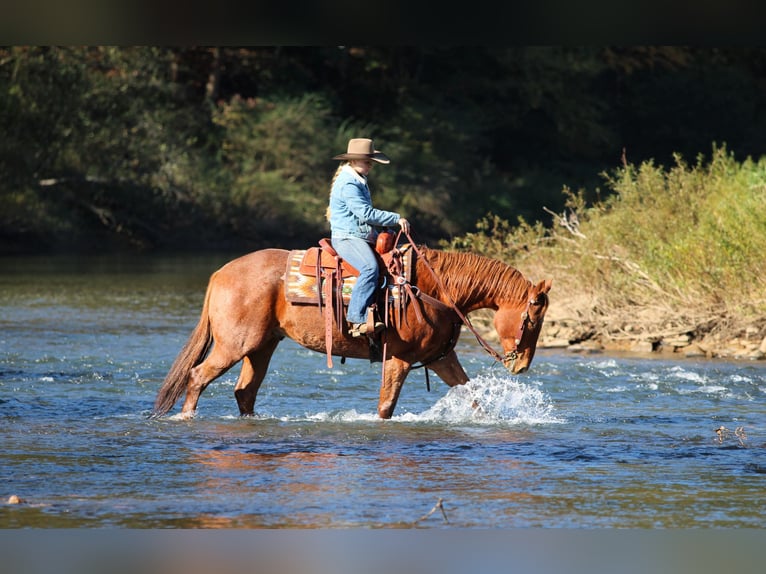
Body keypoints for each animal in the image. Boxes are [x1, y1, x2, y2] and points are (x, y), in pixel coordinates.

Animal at [153, 242, 552, 420]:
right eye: (532, 319)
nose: (521, 366)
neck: (431, 289)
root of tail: (221, 272)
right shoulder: (399, 358)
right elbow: (386, 407)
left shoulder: (441, 358)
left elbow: (472, 397)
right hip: (235, 345)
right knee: (197, 376)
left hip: (262, 347)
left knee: (244, 392)